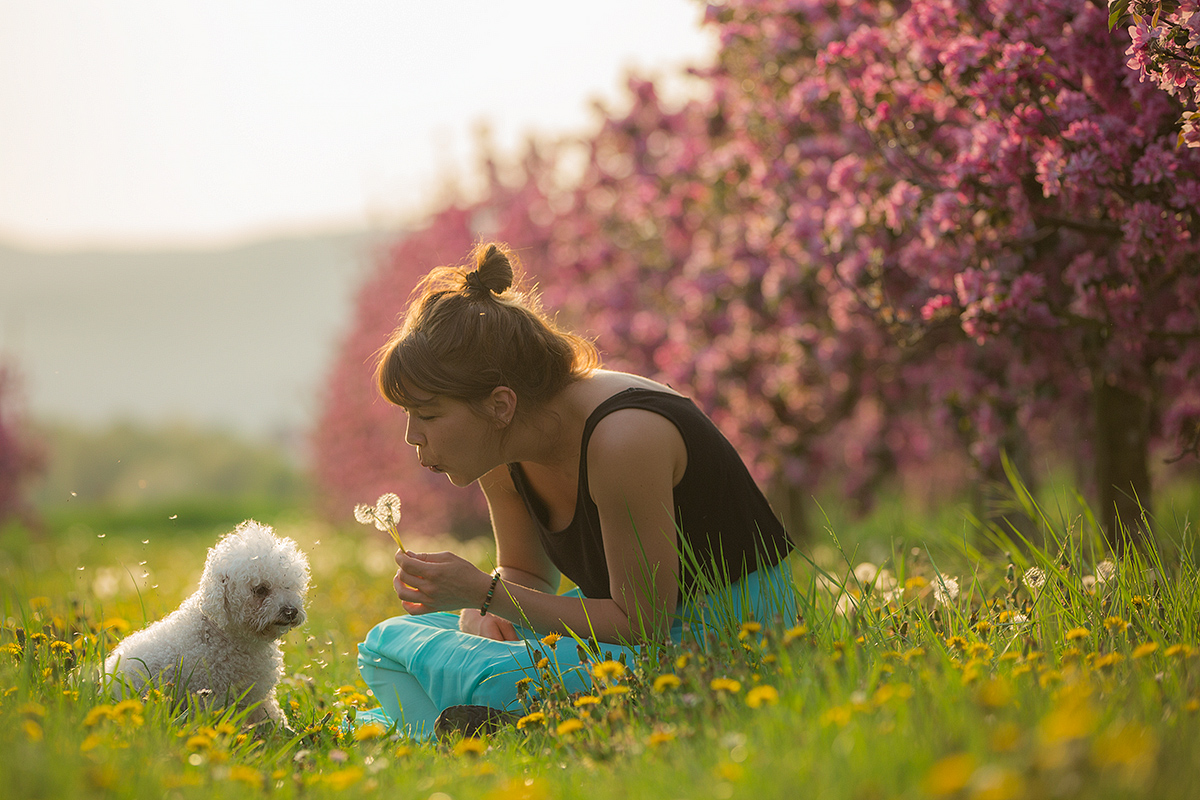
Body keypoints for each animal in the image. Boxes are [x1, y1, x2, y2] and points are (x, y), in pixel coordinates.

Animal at [103, 520, 312, 724]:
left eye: (288, 586)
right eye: (260, 590)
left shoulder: (258, 696)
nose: (291, 611)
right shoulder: (212, 696)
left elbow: (271, 719)